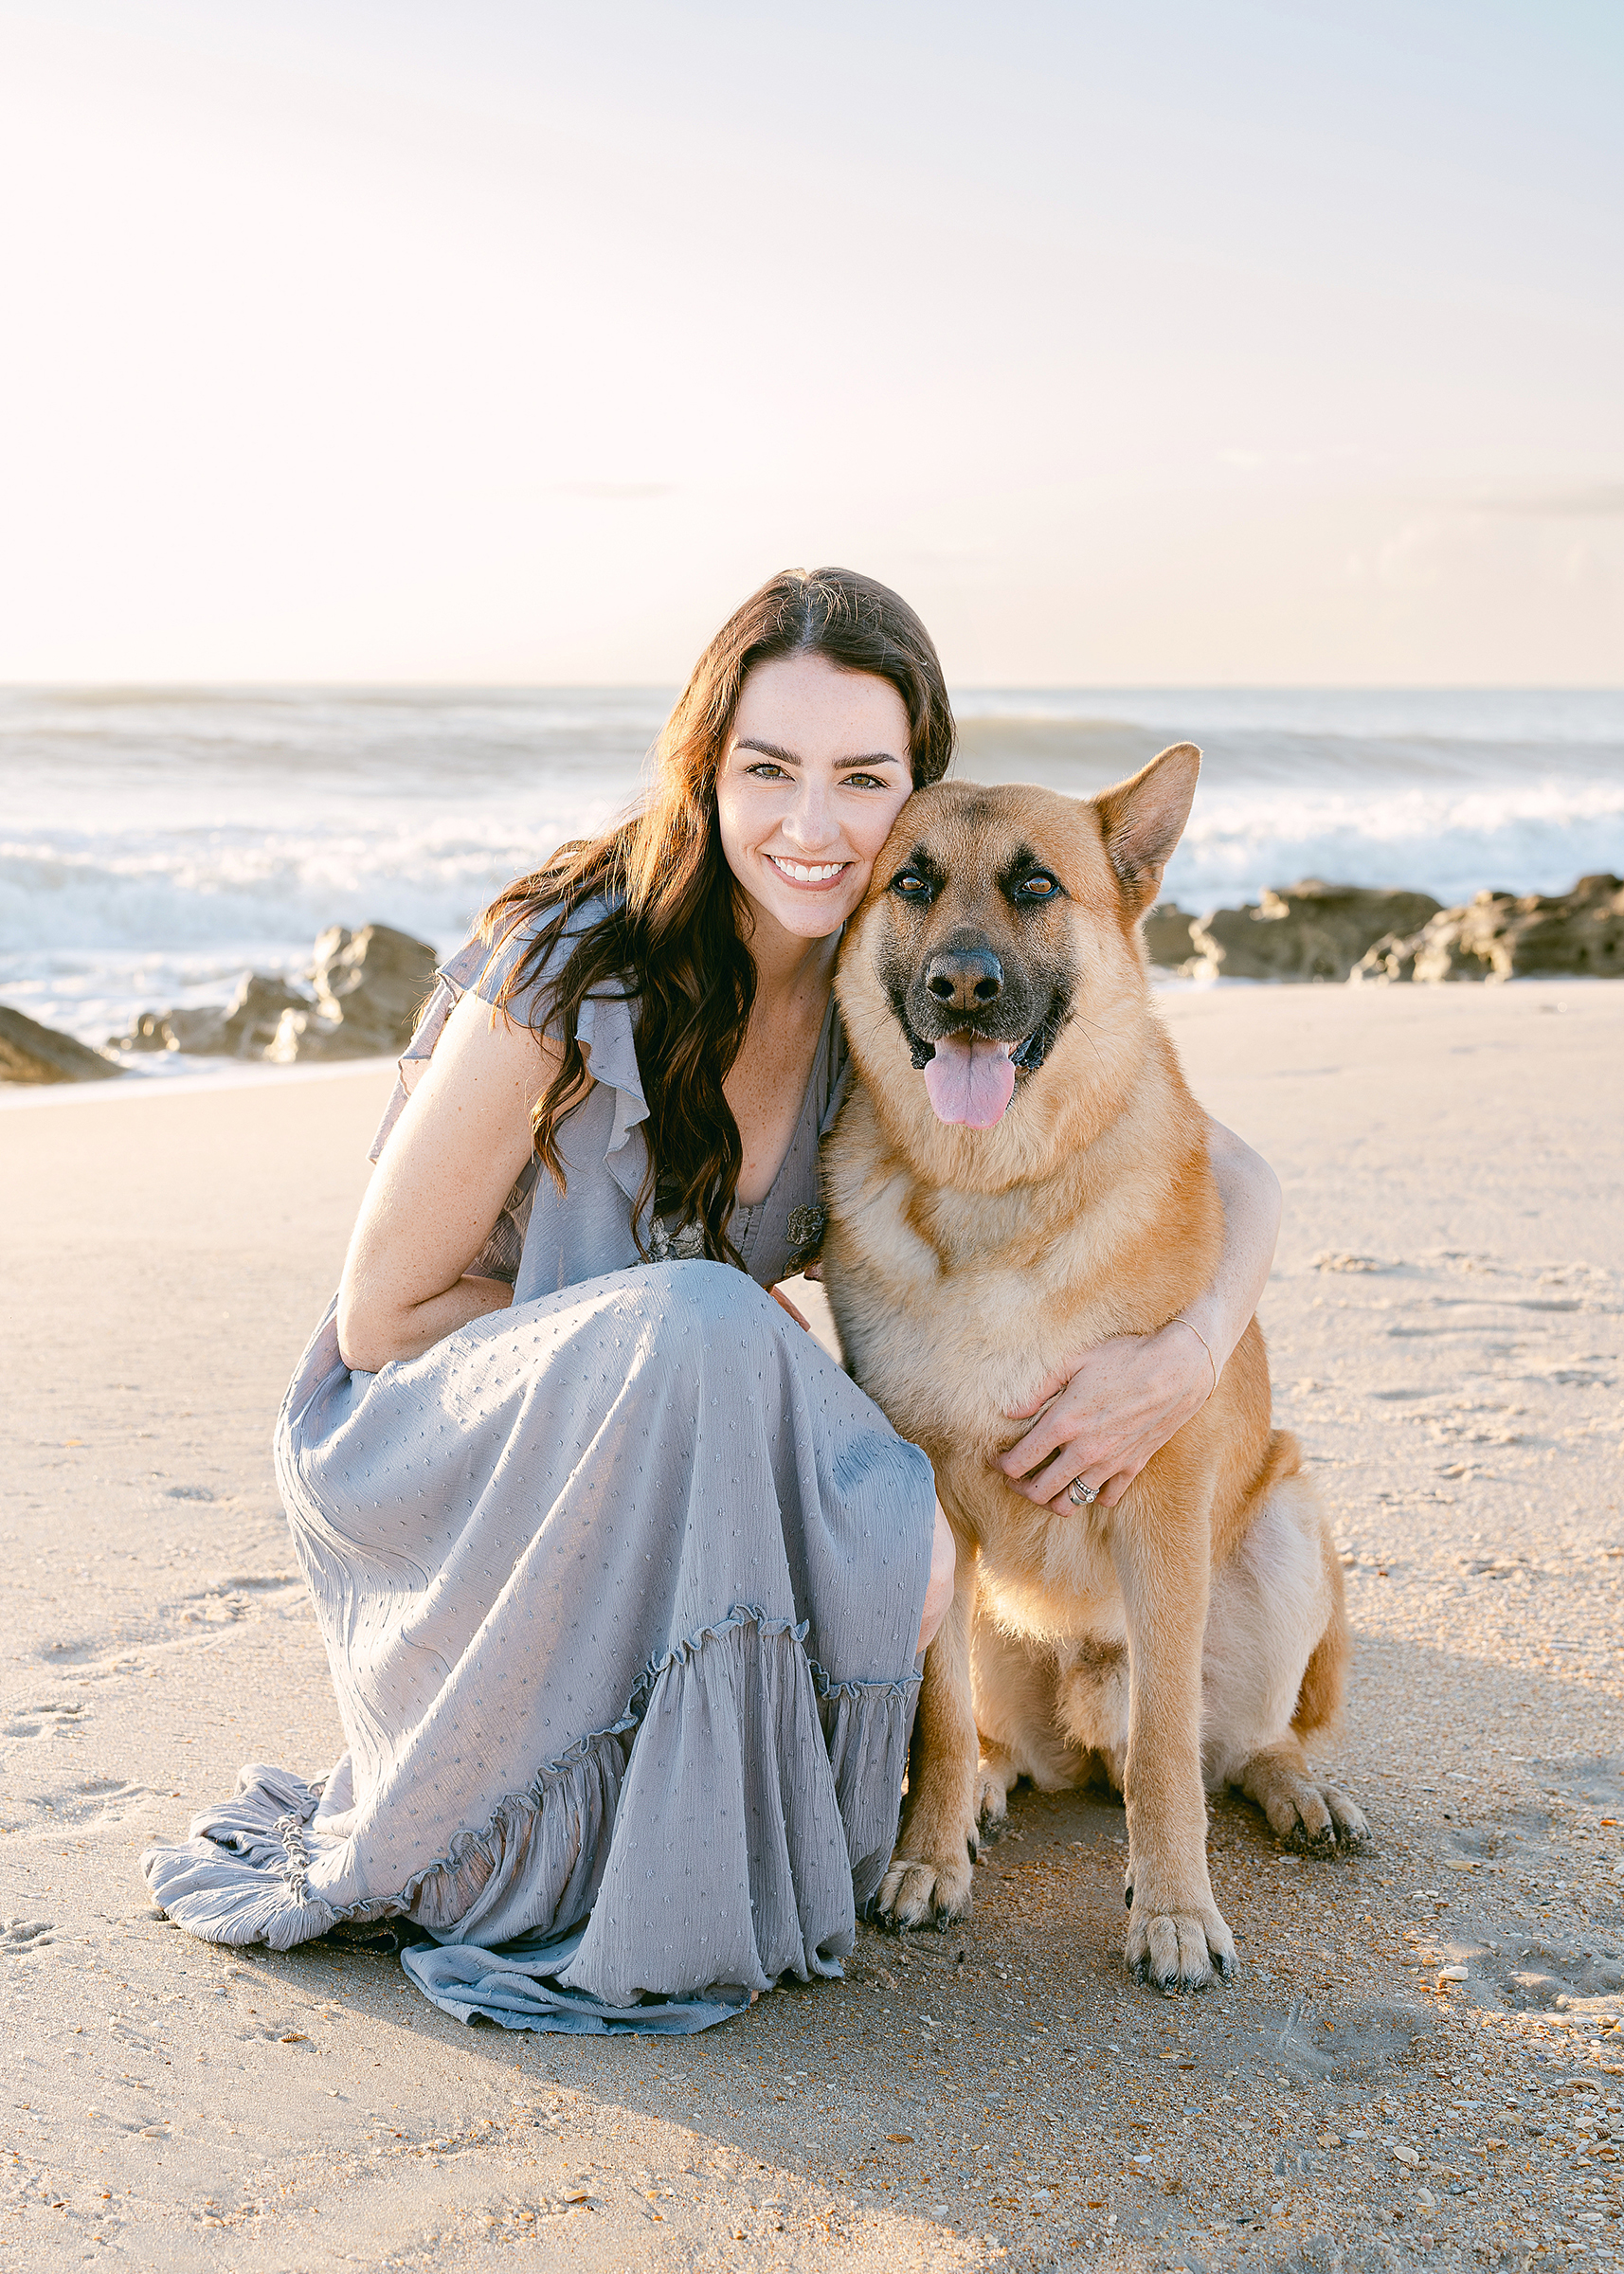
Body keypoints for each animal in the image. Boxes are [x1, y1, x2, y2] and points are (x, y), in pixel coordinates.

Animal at [823, 746, 1364, 1992]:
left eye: (1035, 887)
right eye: (912, 882)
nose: (961, 987)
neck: (997, 1191)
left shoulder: (1159, 1508)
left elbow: (1166, 1750)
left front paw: (1173, 1910)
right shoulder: (927, 1499)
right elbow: (935, 1718)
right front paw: (929, 1856)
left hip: (1285, 1527)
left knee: (1238, 1742)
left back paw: (1295, 1789)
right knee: (988, 1736)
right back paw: (979, 1791)